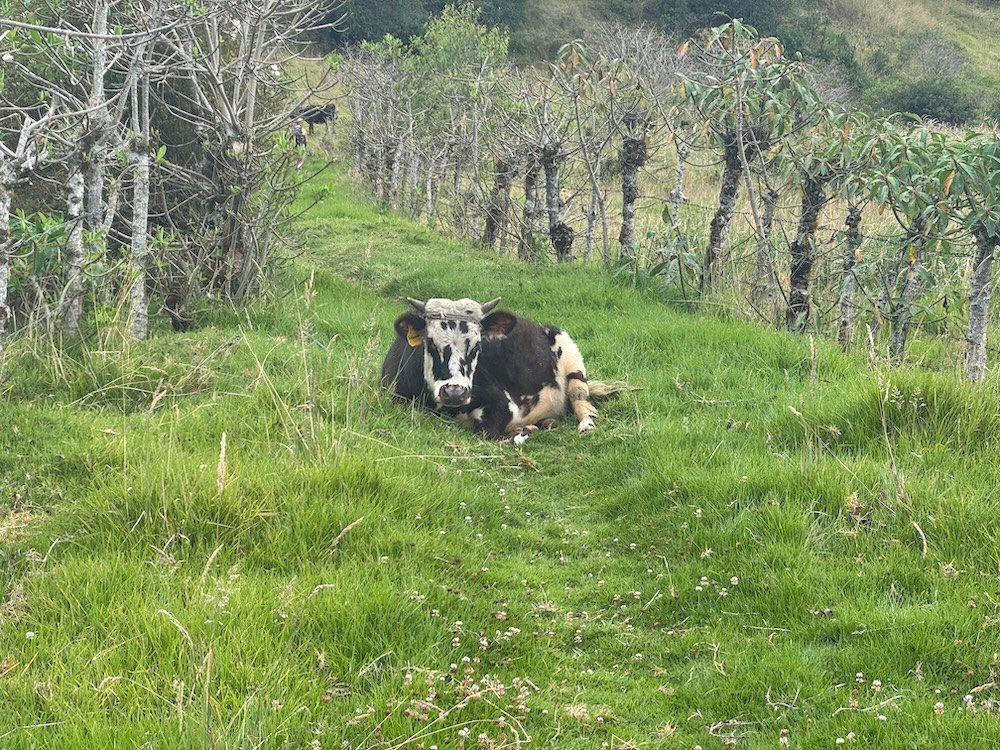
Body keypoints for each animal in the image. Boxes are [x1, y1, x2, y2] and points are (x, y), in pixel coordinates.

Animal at [381, 296, 620, 439]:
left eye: (477, 346)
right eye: (430, 342)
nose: (455, 392)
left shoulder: (502, 405)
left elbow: (488, 430)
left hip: (572, 359)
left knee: (581, 401)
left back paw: (585, 425)